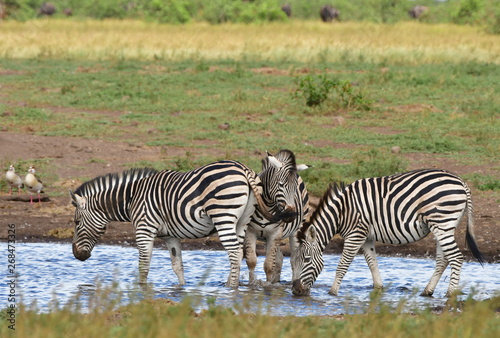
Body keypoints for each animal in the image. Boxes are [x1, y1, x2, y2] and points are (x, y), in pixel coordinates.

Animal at [70, 156, 296, 288]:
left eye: (76, 222)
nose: (77, 255)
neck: (132, 198)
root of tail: (244, 169)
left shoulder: (144, 229)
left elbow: (144, 264)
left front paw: (141, 289)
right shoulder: (170, 235)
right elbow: (177, 265)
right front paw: (181, 288)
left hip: (223, 215)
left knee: (233, 251)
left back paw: (230, 288)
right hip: (242, 221)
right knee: (239, 252)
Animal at [243, 149, 310, 284]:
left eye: (295, 188)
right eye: (281, 185)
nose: (291, 215)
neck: (267, 206)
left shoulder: (274, 233)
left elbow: (269, 265)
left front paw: (268, 285)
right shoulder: (250, 232)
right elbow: (252, 261)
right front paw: (252, 284)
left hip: (297, 230)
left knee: (294, 259)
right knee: (279, 258)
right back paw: (276, 282)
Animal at [292, 168, 484, 296]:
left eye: (306, 259)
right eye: (293, 261)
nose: (296, 291)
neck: (342, 212)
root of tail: (462, 182)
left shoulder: (355, 234)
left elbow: (342, 265)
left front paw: (332, 292)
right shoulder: (367, 237)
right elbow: (372, 263)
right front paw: (379, 288)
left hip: (442, 223)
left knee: (456, 258)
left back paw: (450, 295)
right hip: (442, 226)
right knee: (443, 260)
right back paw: (427, 292)